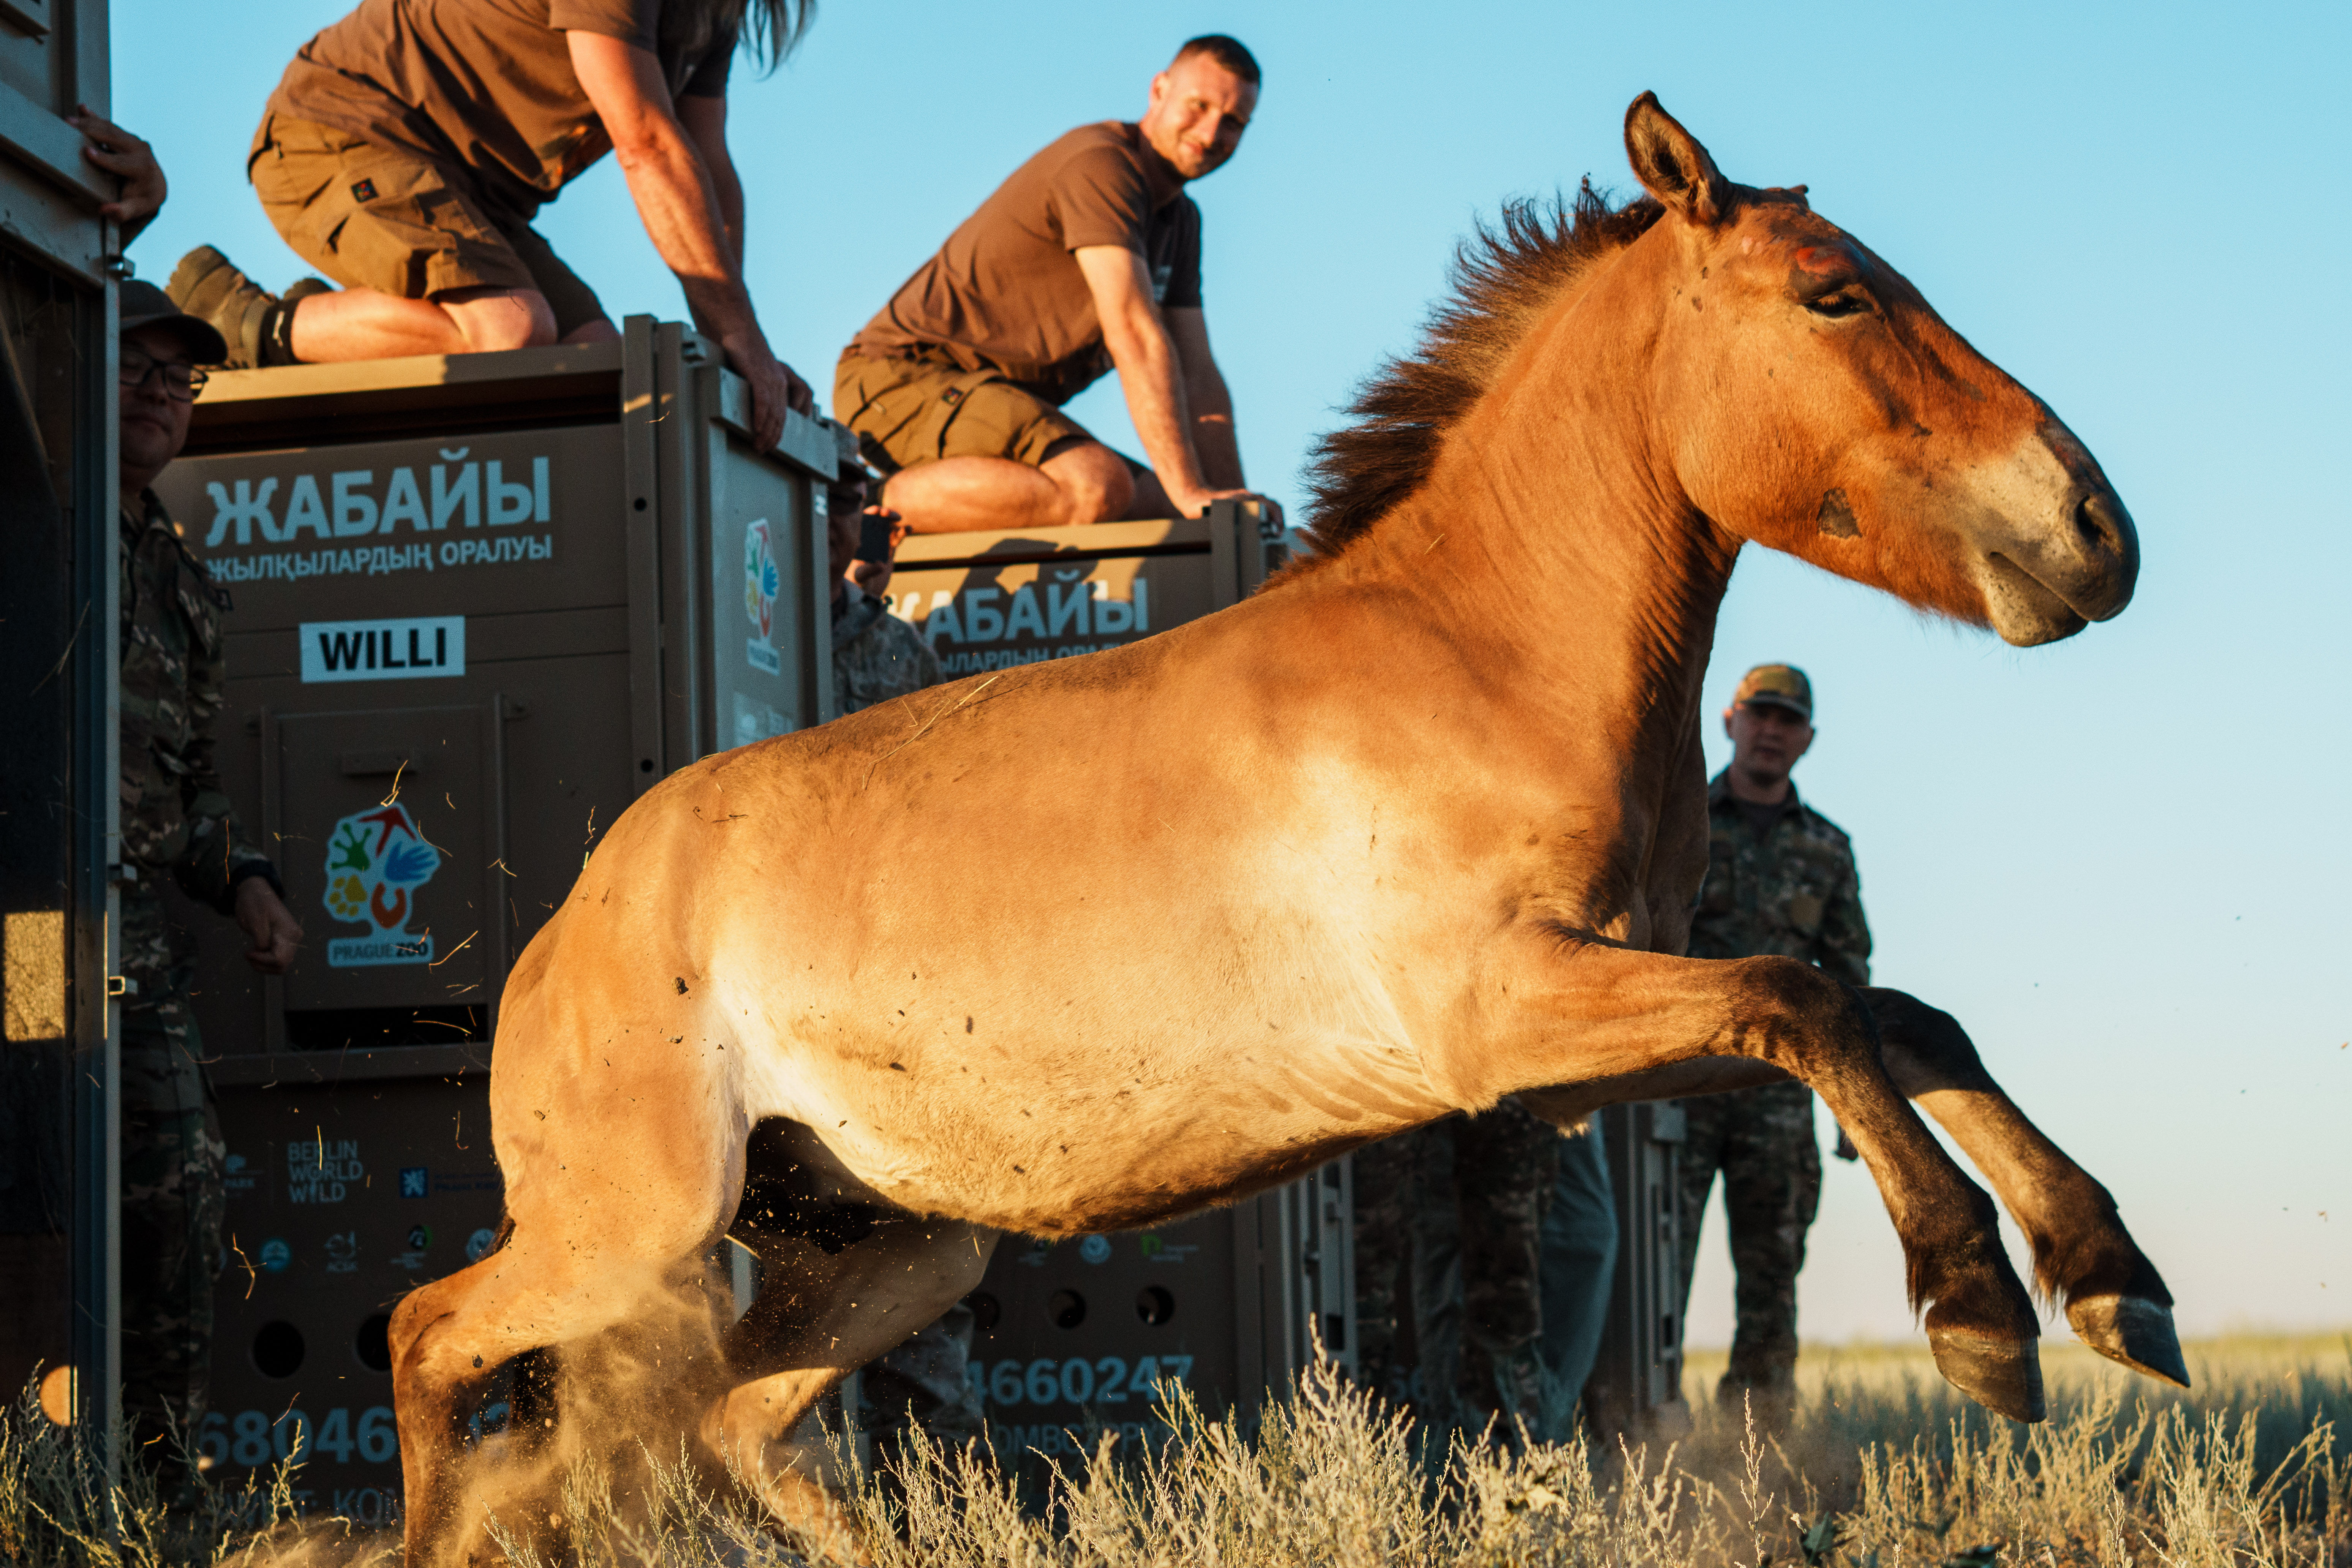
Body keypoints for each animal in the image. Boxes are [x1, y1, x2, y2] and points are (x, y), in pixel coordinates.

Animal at [388, 93, 2180, 1563]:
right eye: (1832, 292)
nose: (2096, 530)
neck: (1484, 654)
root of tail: (574, 920)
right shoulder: (1506, 1018)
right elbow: (1803, 997)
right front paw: (1978, 1307)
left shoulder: (1587, 1035)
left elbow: (1894, 1015)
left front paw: (2112, 1281)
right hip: (632, 1235)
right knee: (429, 1335)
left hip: (891, 1252)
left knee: (738, 1426)